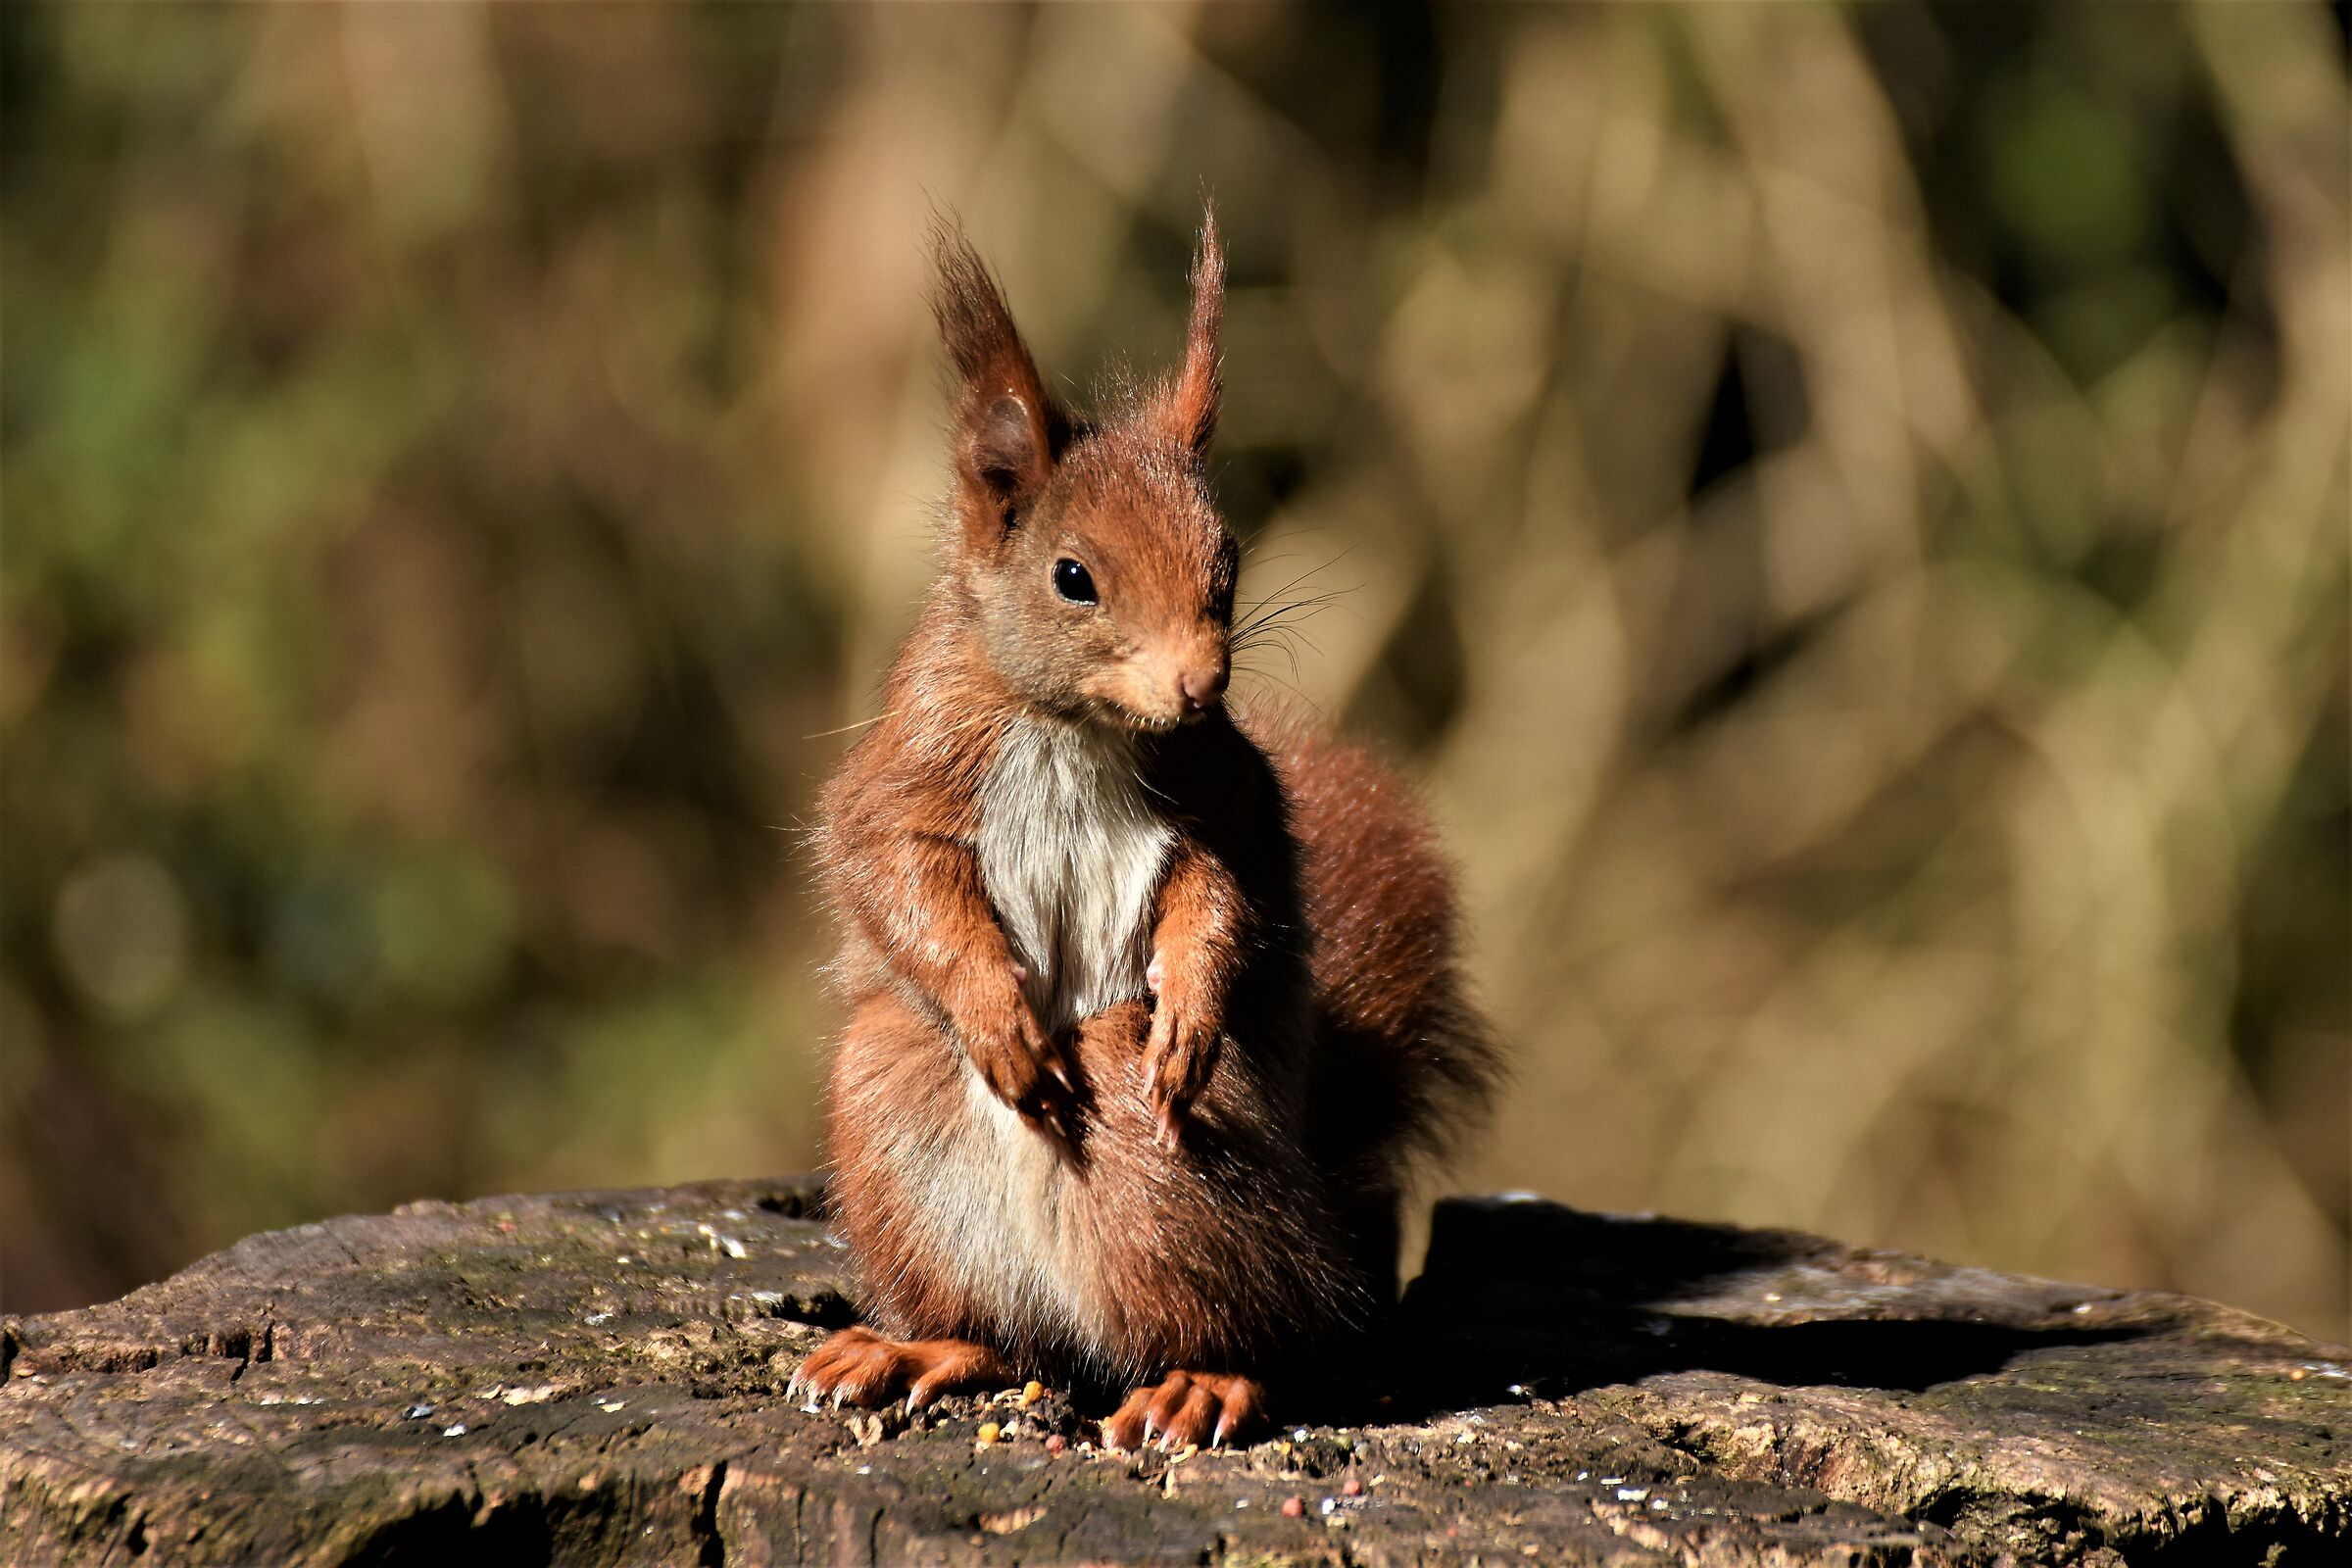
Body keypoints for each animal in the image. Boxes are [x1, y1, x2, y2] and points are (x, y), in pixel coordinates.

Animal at [789, 209, 1498, 1452]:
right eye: (1072, 575)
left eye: (1229, 562)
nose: (1202, 682)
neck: (1081, 724)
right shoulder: (911, 766)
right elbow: (889, 865)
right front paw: (996, 1012)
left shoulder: (1228, 791)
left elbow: (1226, 894)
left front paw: (1196, 1012)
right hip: (891, 1108)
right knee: (1009, 1335)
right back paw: (918, 1344)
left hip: (1166, 1157)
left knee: (1266, 1328)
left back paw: (1207, 1379)